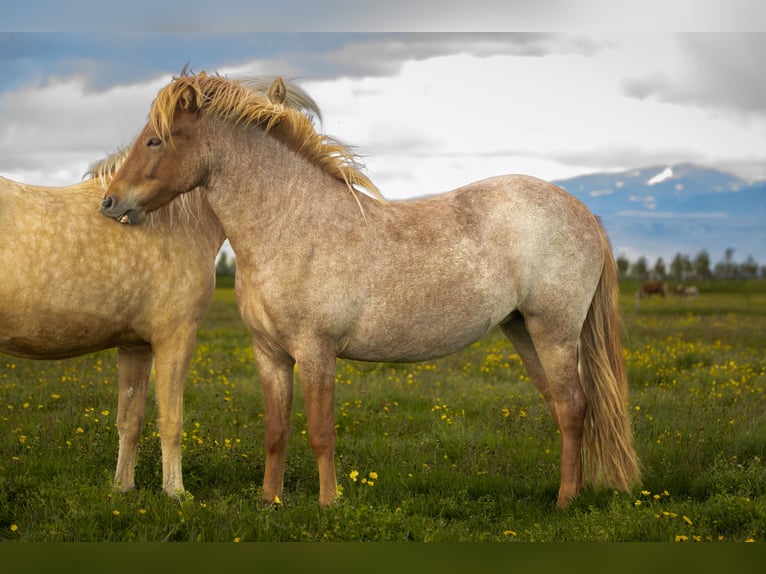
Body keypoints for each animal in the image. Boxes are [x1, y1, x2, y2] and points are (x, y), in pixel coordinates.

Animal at [1, 151, 225, 498]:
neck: (178, 215)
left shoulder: (136, 345)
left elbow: (130, 420)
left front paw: (122, 488)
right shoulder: (176, 337)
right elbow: (171, 420)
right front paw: (176, 493)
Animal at [102, 73, 640, 512]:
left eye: (154, 140)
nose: (110, 202)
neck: (291, 224)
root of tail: (583, 211)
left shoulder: (316, 353)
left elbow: (321, 432)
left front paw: (328, 504)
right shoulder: (269, 354)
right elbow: (276, 432)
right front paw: (270, 501)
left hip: (555, 332)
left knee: (574, 408)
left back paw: (565, 501)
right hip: (523, 331)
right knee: (563, 407)